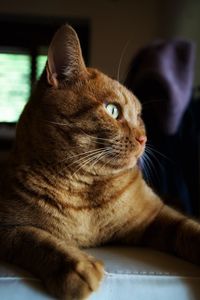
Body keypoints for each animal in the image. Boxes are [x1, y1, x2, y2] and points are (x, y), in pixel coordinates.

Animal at [0, 24, 200, 300]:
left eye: (139, 116)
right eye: (112, 110)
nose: (144, 138)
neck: (84, 192)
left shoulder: (157, 216)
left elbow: (188, 228)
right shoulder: (7, 227)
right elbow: (35, 239)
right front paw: (77, 266)